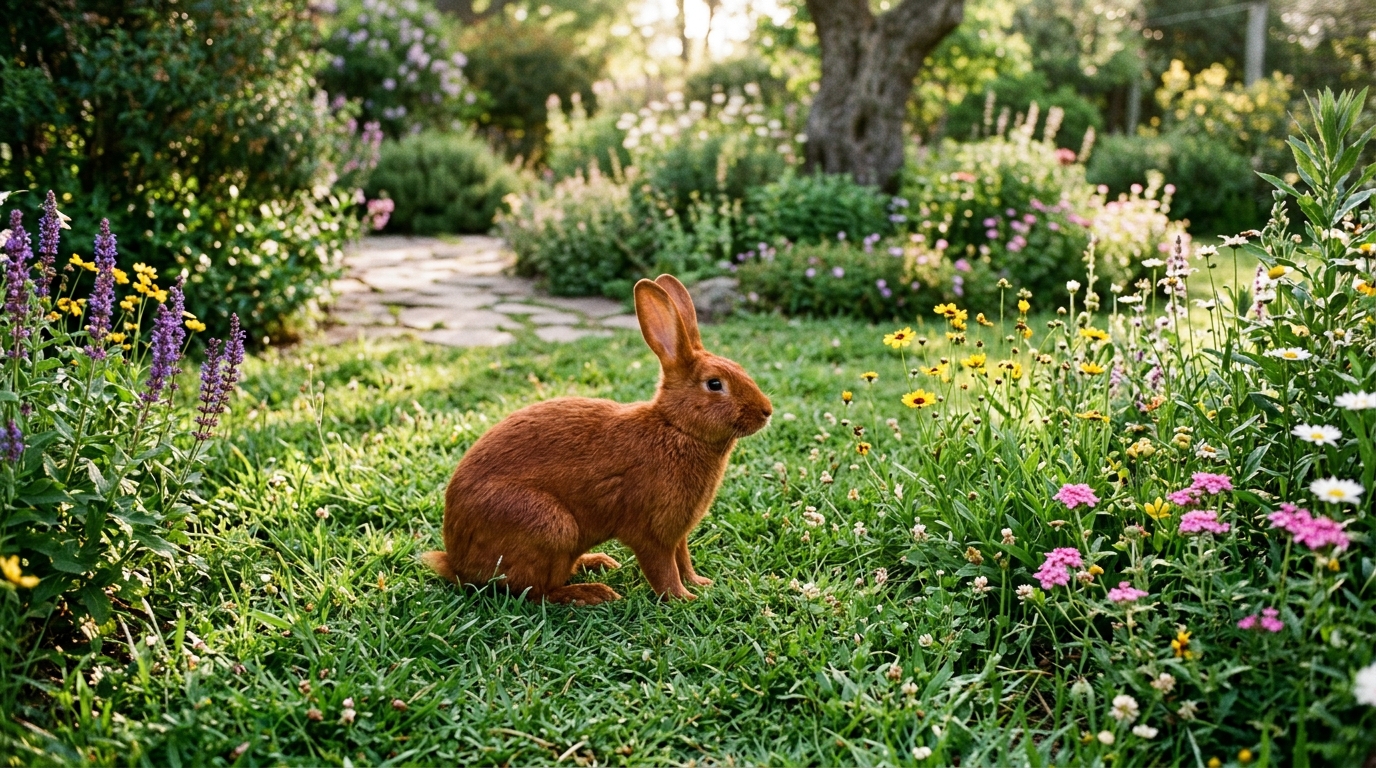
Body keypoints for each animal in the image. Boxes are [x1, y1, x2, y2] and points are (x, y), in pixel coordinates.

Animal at [421, 274, 773, 605]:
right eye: (714, 384)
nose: (766, 411)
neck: (675, 427)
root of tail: (456, 562)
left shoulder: (677, 534)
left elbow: (683, 560)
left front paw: (700, 584)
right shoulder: (652, 534)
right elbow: (663, 570)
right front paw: (684, 599)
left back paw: (598, 563)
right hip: (550, 527)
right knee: (536, 591)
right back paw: (592, 593)